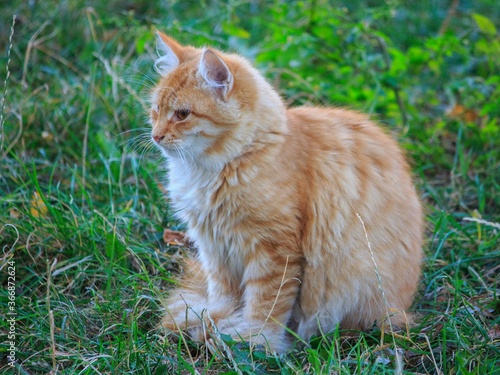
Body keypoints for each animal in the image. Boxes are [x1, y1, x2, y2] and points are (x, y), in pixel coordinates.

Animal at [151, 31, 422, 352]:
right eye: (156, 110)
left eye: (182, 114)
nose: (155, 135)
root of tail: (402, 307)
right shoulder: (214, 247)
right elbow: (222, 294)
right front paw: (219, 318)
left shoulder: (273, 250)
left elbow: (266, 304)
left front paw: (255, 340)